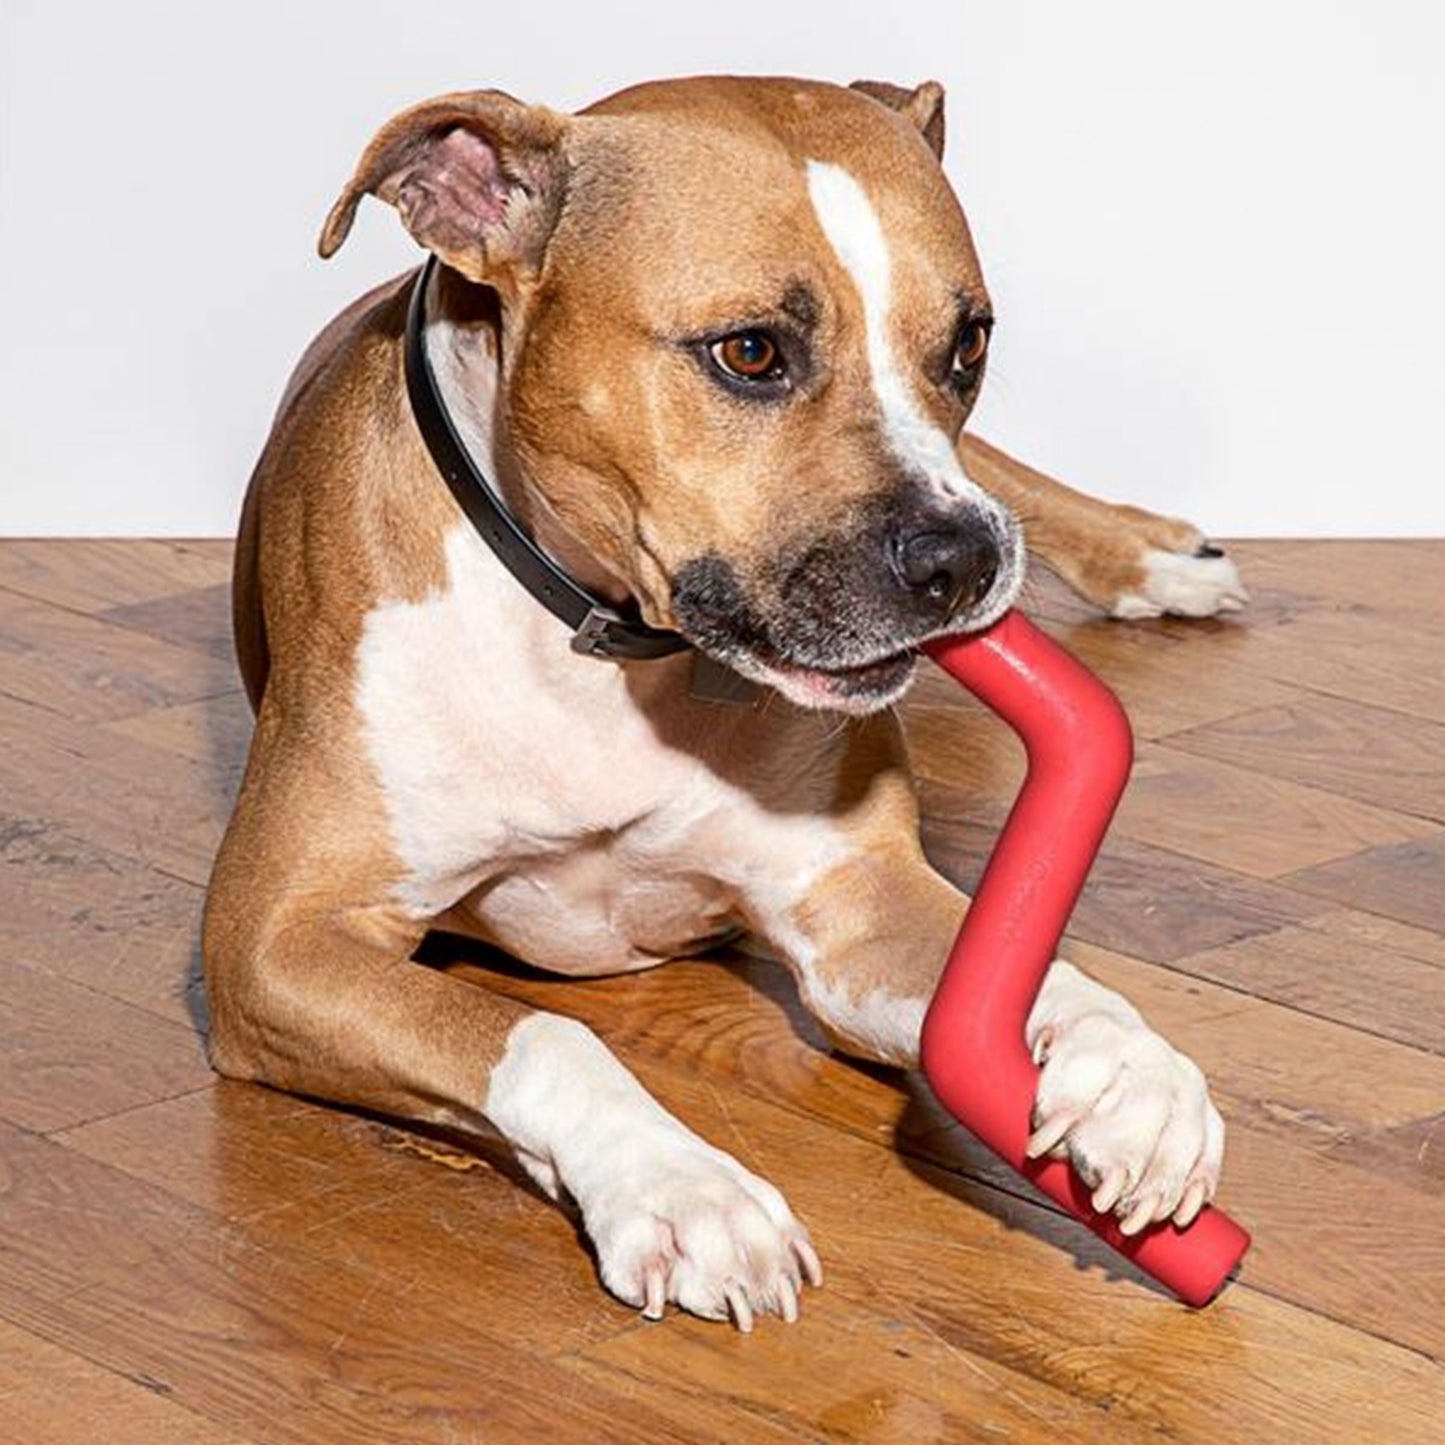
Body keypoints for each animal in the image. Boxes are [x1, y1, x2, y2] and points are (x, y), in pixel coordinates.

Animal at [205, 75, 1248, 1330]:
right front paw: (679, 1185)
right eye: (749, 352)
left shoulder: (847, 902)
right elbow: (534, 1030)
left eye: (966, 344)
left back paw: (1149, 554)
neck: (602, 640)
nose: (958, 561)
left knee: (1012, 475)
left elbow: (1011, 967)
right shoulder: (272, 942)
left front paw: (1128, 1072)